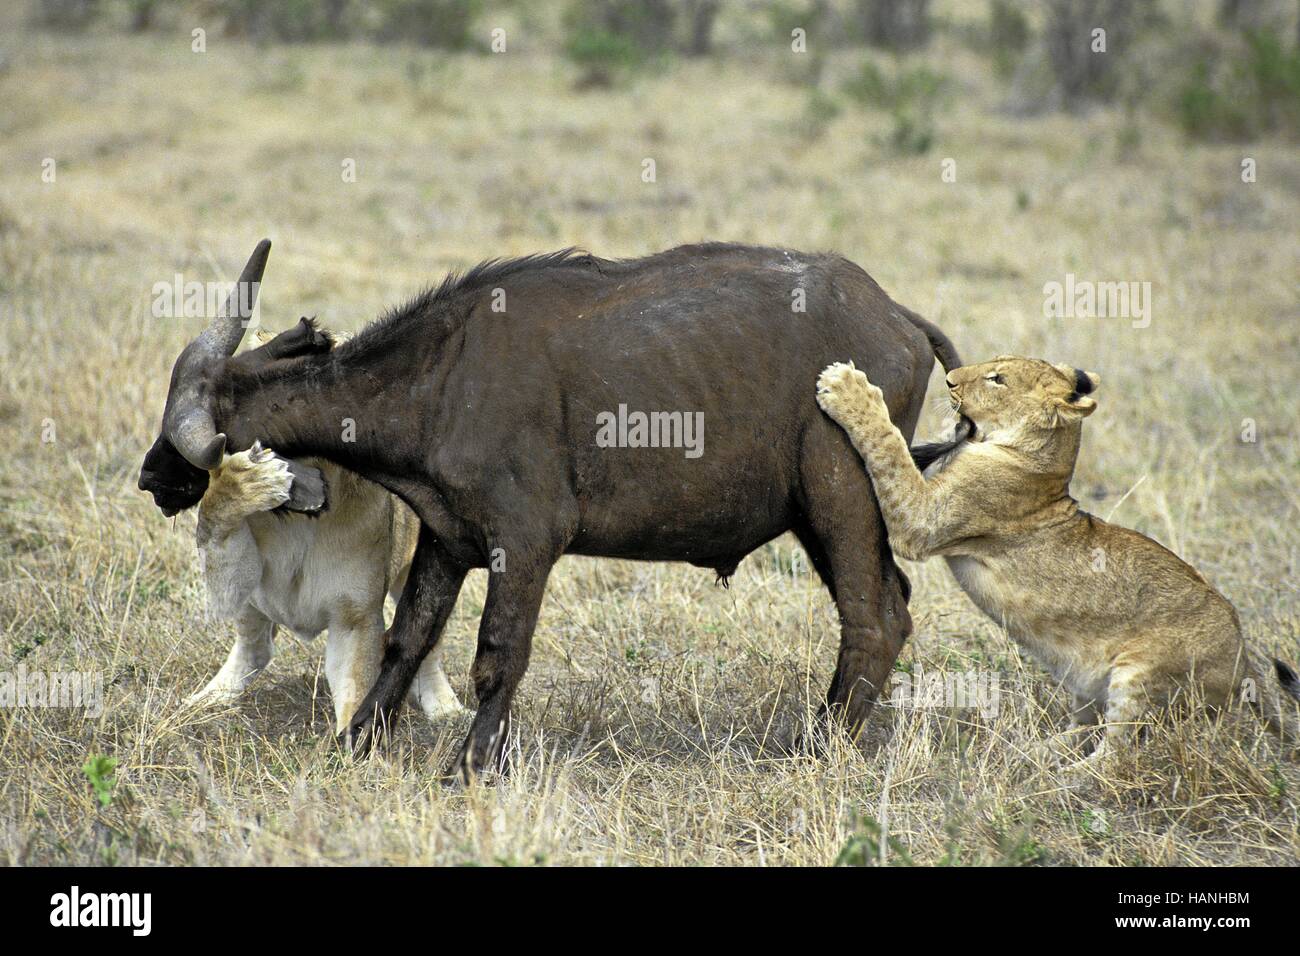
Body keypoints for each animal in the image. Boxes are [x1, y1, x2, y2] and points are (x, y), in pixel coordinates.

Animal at [816, 356, 1294, 764]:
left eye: (998, 379)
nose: (949, 380)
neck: (1043, 465)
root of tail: (1244, 656)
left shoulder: (924, 520)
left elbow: (889, 447)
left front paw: (847, 388)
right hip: (1090, 685)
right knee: (1086, 730)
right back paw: (1029, 752)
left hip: (1142, 674)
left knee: (1118, 757)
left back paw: (1065, 776)